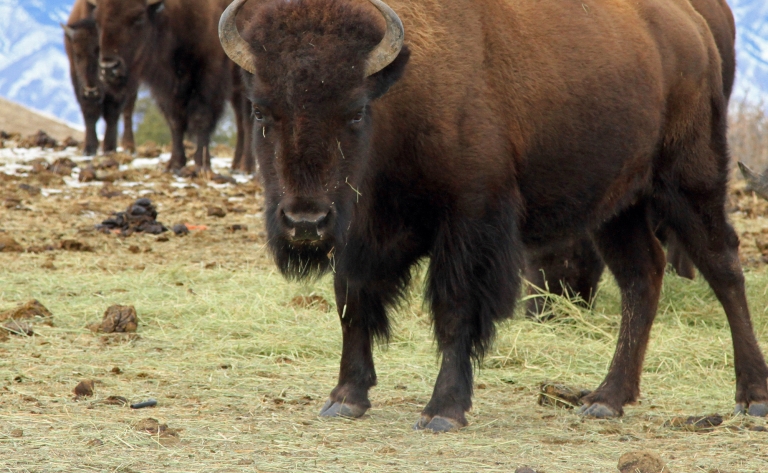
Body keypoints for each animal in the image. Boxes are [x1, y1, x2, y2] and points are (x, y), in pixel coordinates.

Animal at [63, 0, 138, 155]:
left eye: (99, 51)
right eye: (77, 54)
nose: (91, 90)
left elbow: (112, 112)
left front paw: (109, 147)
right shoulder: (77, 82)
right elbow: (90, 112)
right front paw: (89, 148)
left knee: (128, 110)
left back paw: (129, 145)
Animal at [86, 0, 255, 171]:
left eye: (139, 17)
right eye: (97, 20)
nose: (109, 68)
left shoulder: (209, 77)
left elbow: (201, 117)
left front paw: (201, 163)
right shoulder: (165, 87)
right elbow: (174, 120)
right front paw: (175, 163)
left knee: (247, 122)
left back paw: (246, 167)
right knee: (241, 122)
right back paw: (236, 164)